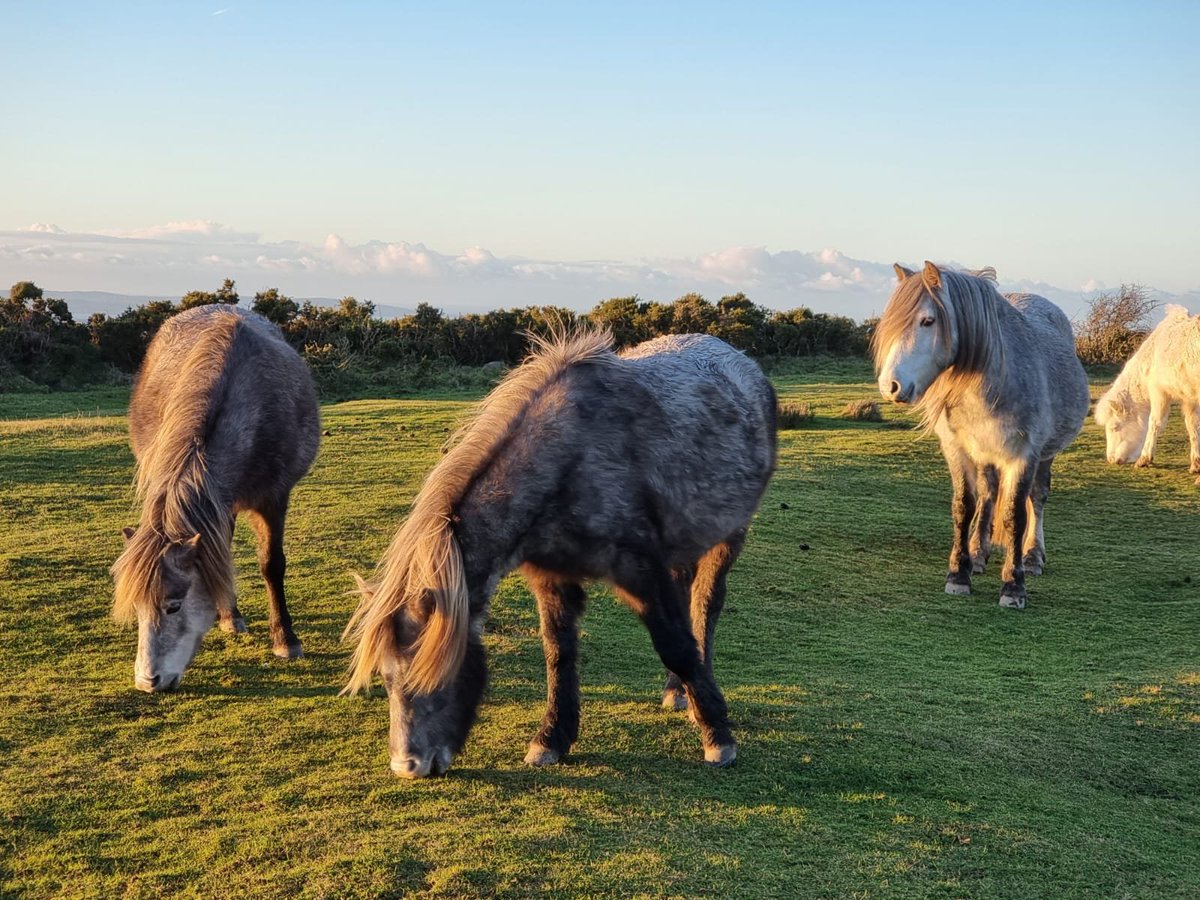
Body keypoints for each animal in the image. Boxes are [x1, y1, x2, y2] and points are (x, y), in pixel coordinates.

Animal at [111, 305, 320, 692]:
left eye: (174, 605)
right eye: (137, 608)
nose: (149, 681)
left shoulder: (274, 498)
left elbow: (272, 564)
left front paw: (286, 640)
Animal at [342, 329, 777, 778]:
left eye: (429, 674)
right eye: (386, 678)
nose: (408, 765)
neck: (567, 460)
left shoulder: (638, 570)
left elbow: (675, 644)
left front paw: (718, 738)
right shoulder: (551, 576)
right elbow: (558, 651)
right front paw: (551, 738)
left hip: (728, 536)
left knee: (706, 606)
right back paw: (677, 692)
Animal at [873, 262, 1088, 610]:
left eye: (928, 321)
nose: (890, 387)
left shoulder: (1024, 456)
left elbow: (1016, 515)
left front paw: (1014, 585)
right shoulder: (958, 450)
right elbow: (964, 506)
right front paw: (959, 574)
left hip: (1046, 454)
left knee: (1037, 498)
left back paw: (1032, 556)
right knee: (988, 494)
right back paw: (977, 553)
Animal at [1095, 304, 1200, 472]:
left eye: (1114, 427)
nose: (1111, 459)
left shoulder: (1159, 393)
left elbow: (1154, 423)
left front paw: (1144, 458)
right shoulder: (1190, 398)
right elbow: (1193, 426)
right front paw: (1196, 463)